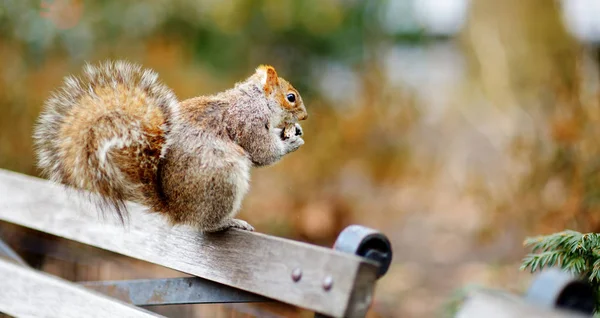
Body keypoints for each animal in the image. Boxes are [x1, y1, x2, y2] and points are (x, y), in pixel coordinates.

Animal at [33, 60, 308, 232]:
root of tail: (176, 212)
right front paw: (291, 141)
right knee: (204, 225)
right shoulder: (246, 120)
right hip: (223, 177)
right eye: (291, 97)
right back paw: (228, 223)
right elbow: (262, 152)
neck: (256, 99)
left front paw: (292, 132)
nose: (305, 117)